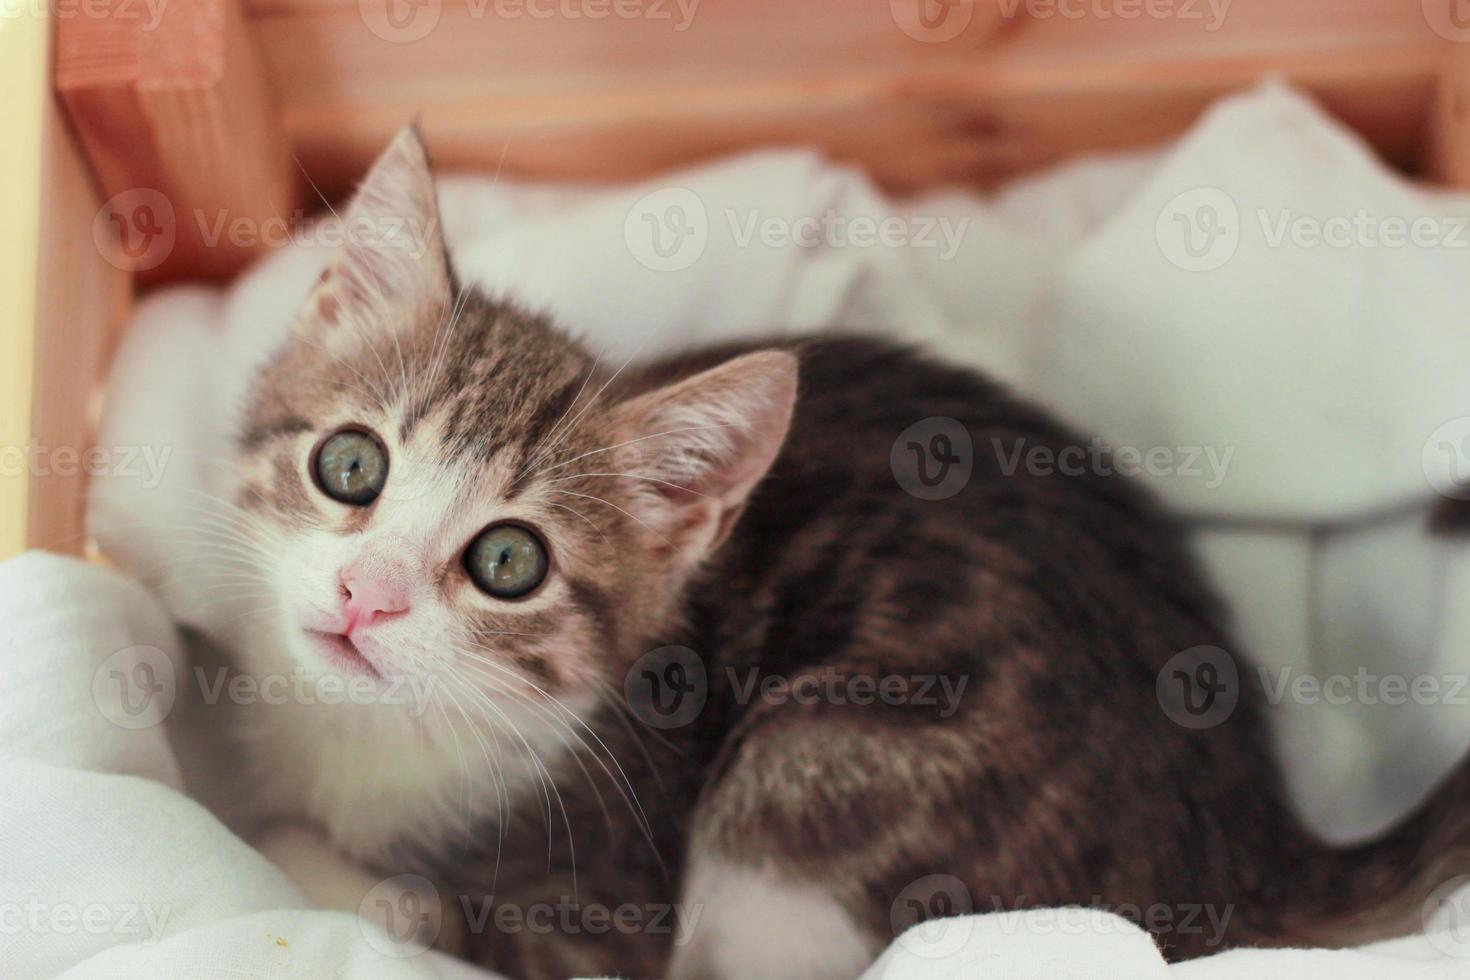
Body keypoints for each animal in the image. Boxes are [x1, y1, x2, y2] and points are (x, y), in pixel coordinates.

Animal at [210, 130, 1470, 980]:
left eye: (509, 562)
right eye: (351, 465)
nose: (365, 595)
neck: (365, 740)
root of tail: (1257, 847)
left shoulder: (600, 912)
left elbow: (382, 904)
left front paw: (296, 853)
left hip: (815, 783)